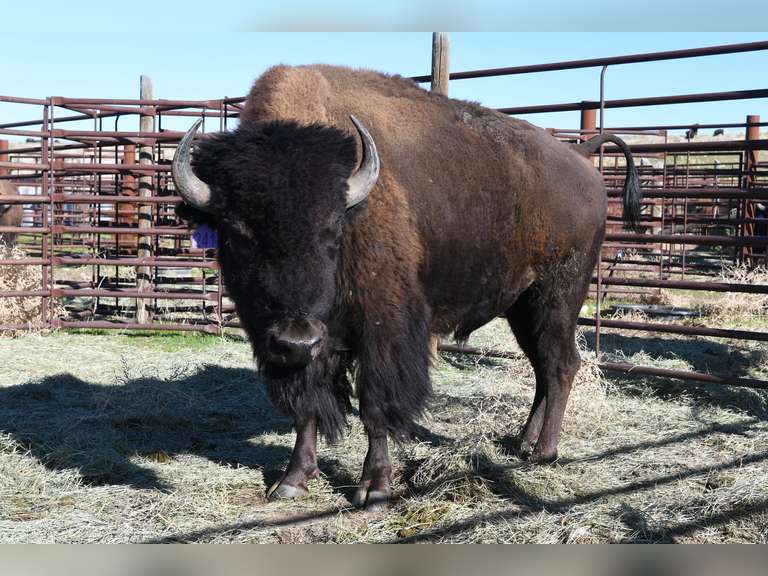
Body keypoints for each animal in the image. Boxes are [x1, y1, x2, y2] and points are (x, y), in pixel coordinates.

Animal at [172, 65, 641, 510]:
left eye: (331, 229)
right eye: (237, 232)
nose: (295, 338)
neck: (355, 207)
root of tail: (580, 157)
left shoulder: (382, 329)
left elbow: (375, 404)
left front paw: (374, 489)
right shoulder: (314, 342)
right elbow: (308, 407)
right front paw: (292, 481)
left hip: (557, 295)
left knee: (561, 364)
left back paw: (544, 452)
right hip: (521, 306)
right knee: (543, 365)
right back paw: (523, 443)